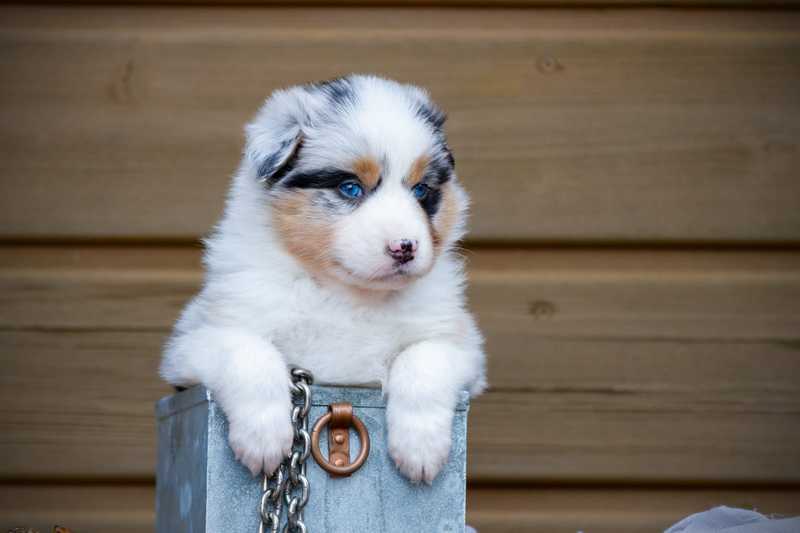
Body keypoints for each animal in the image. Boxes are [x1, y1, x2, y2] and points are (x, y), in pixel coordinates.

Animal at [161, 74, 486, 483]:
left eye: (421, 191)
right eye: (350, 188)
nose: (405, 248)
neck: (344, 292)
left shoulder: (464, 347)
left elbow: (424, 357)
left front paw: (420, 449)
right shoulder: (194, 341)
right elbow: (248, 351)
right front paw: (264, 438)